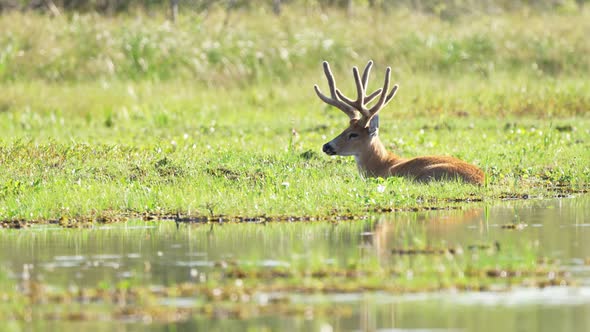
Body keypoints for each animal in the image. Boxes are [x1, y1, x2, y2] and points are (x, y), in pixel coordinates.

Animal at [314, 59, 486, 184]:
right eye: (344, 129)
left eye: (353, 134)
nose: (326, 146)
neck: (382, 164)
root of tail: (480, 179)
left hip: (427, 175)